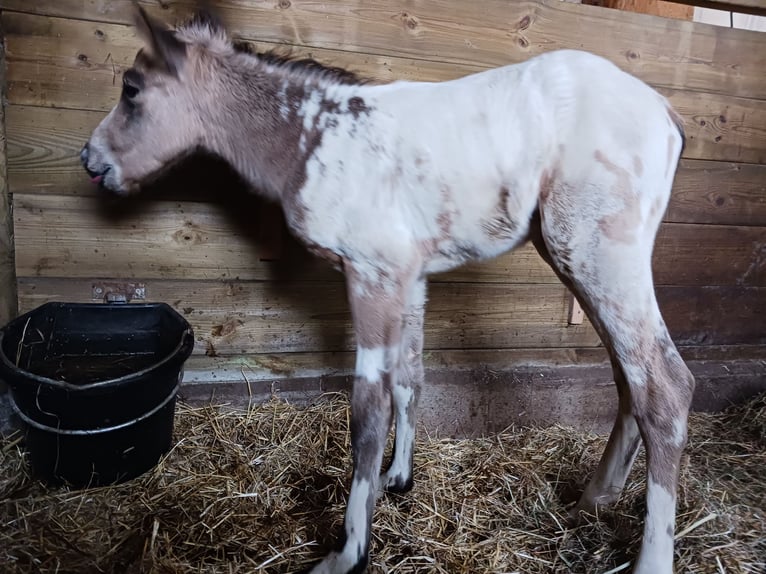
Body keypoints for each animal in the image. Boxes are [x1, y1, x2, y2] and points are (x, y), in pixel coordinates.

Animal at [82, 9, 696, 574]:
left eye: (132, 91)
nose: (91, 160)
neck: (312, 138)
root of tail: (665, 113)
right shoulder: (410, 278)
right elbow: (409, 377)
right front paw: (397, 479)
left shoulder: (372, 274)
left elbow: (367, 409)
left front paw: (349, 549)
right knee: (630, 379)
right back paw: (595, 498)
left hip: (596, 256)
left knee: (666, 384)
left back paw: (650, 557)